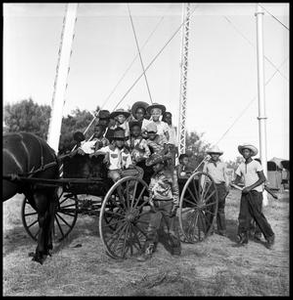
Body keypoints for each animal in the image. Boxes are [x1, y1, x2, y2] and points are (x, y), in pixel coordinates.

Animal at [2, 132, 58, 264]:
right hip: (31, 193)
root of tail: (50, 149)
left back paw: (39, 254)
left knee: (43, 218)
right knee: (48, 216)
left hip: (40, 192)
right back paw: (45, 250)